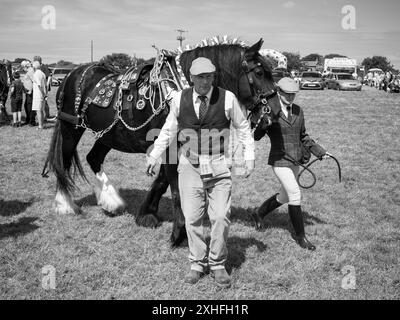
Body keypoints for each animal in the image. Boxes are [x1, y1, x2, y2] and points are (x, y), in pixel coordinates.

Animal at [45, 38, 280, 248]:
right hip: (70, 128)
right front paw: (178, 232)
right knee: (63, 161)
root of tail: (71, 75)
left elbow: (161, 181)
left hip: (108, 135)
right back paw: (65, 204)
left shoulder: (173, 146)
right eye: (259, 73)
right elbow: (174, 188)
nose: (275, 114)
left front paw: (146, 214)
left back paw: (111, 201)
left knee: (93, 158)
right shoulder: (169, 146)